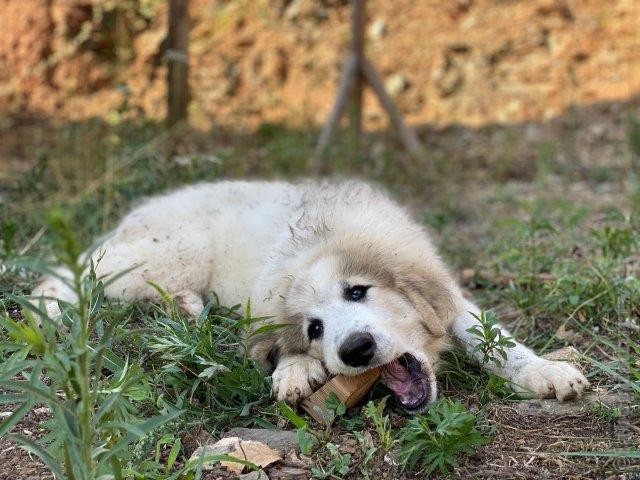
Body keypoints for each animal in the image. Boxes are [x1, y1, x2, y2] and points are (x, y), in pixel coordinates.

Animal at [32, 180, 588, 412]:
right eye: (314, 328)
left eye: (358, 291)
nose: (356, 350)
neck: (323, 239)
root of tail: (139, 211)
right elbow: (279, 348)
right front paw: (296, 370)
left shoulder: (448, 294)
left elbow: (494, 340)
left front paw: (546, 372)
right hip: (162, 253)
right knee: (72, 273)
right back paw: (47, 310)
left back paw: (187, 309)